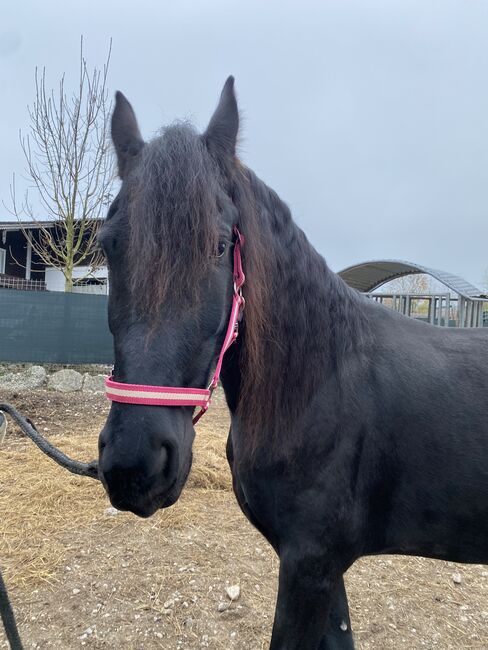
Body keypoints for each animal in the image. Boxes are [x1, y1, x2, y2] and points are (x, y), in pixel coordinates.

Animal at [98, 78, 488, 644]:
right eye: (108, 245)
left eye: (220, 245)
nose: (134, 464)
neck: (321, 384)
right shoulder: (323, 570)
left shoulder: (309, 564)